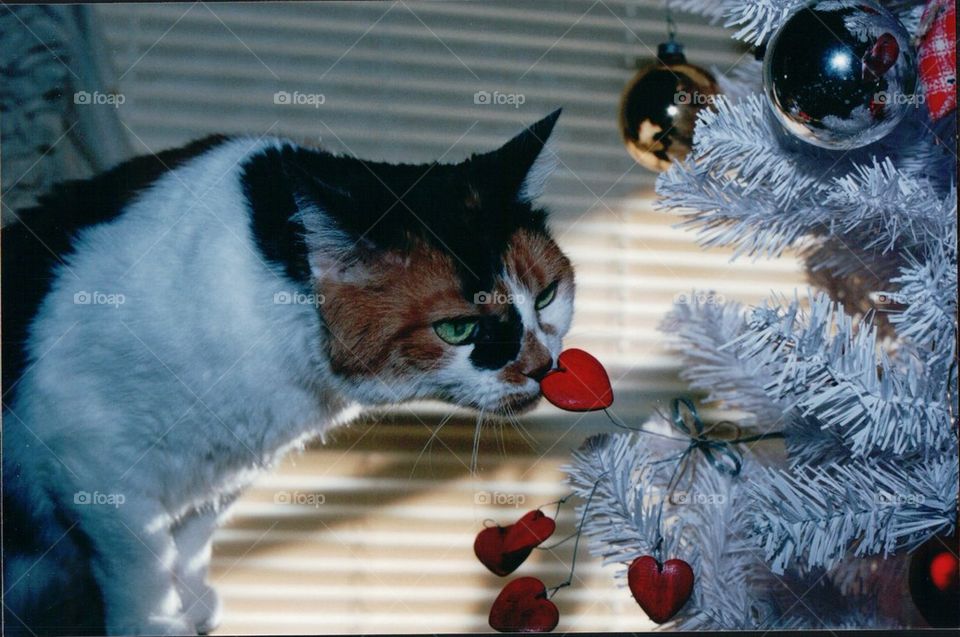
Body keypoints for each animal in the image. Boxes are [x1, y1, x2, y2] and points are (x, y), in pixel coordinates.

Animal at [1, 112, 568, 632]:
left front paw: (193, 601)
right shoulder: (87, 455)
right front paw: (156, 624)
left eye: (545, 296)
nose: (543, 367)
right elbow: (142, 560)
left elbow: (192, 536)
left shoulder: (226, 462)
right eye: (457, 329)